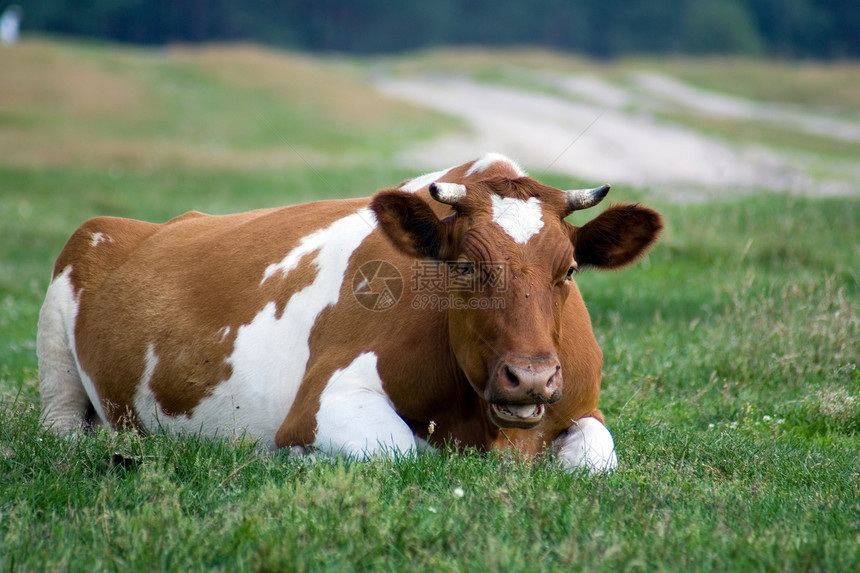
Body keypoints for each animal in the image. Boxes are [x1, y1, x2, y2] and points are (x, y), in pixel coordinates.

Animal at [37, 152, 660, 470]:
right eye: (464, 266)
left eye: (570, 271)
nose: (530, 377)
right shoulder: (323, 397)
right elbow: (399, 451)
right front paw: (293, 458)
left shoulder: (584, 404)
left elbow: (596, 457)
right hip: (59, 325)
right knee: (61, 427)